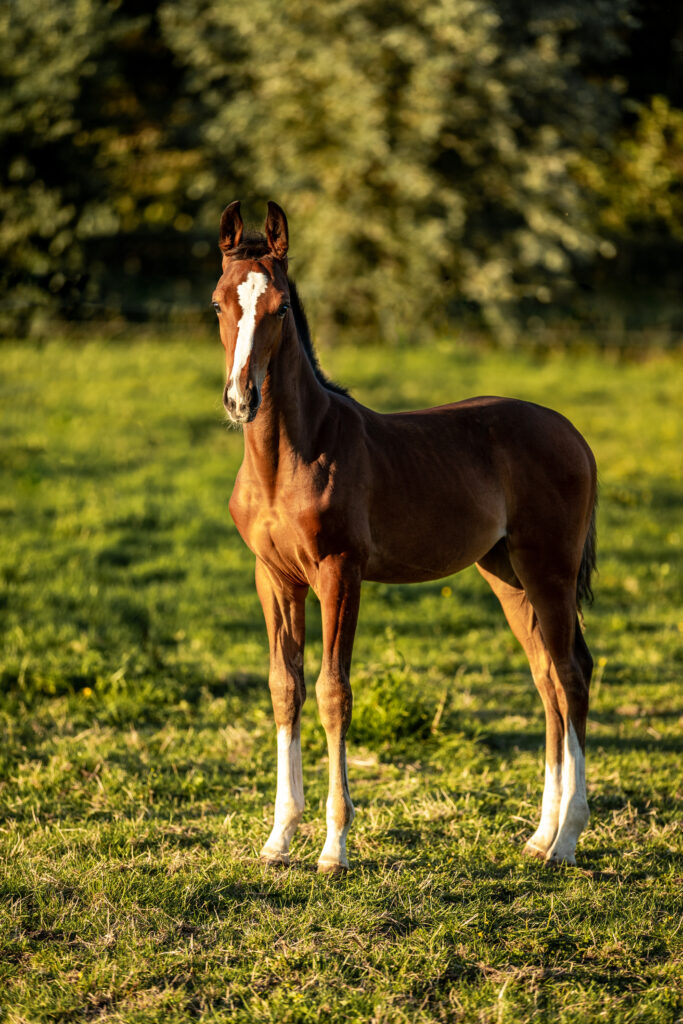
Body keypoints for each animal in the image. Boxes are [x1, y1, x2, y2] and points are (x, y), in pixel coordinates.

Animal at [214, 203, 598, 876]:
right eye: (217, 304)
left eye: (280, 308)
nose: (241, 399)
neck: (290, 458)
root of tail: (572, 434)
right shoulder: (274, 577)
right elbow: (285, 687)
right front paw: (278, 838)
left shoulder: (340, 572)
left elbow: (332, 692)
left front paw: (334, 847)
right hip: (507, 574)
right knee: (547, 678)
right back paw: (539, 835)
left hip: (550, 569)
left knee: (572, 675)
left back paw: (567, 842)